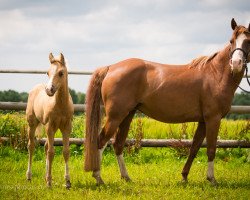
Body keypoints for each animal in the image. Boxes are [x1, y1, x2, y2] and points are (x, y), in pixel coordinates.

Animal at [26, 52, 73, 188]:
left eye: (61, 73)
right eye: (47, 73)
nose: (49, 90)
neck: (61, 105)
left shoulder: (66, 127)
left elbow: (65, 151)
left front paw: (67, 182)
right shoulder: (49, 126)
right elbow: (51, 153)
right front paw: (49, 182)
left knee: (46, 147)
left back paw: (44, 177)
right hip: (32, 124)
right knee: (31, 146)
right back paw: (29, 176)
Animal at [84, 18, 250, 184]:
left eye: (248, 41)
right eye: (231, 41)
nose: (236, 64)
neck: (216, 74)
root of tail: (111, 68)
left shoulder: (203, 121)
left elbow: (194, 148)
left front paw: (184, 177)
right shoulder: (213, 119)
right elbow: (211, 149)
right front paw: (212, 179)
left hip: (127, 115)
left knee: (117, 144)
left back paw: (126, 177)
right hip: (115, 116)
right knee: (101, 141)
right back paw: (98, 177)